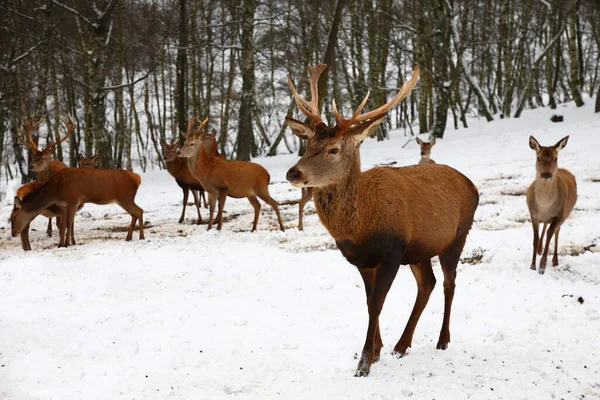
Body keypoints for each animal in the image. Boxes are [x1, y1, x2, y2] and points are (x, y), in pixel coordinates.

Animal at [11, 166, 145, 247]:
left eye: (13, 217)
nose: (13, 233)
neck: (56, 191)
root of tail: (137, 178)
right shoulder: (64, 205)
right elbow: (63, 226)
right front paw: (61, 244)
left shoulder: (73, 200)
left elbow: (68, 224)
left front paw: (66, 243)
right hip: (124, 199)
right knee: (135, 213)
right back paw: (128, 237)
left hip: (125, 198)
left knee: (139, 211)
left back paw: (141, 237)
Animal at [284, 64, 478, 376]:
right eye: (308, 143)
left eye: (333, 149)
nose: (294, 173)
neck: (360, 228)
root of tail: (473, 185)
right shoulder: (363, 260)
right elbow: (367, 302)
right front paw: (377, 351)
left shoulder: (391, 253)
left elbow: (377, 304)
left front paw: (364, 362)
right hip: (420, 250)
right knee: (428, 284)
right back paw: (402, 345)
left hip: (457, 236)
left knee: (449, 283)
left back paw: (442, 340)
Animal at [524, 136, 576, 274]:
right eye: (538, 157)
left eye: (555, 158)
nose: (546, 174)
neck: (544, 206)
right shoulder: (532, 214)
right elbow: (535, 238)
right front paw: (532, 266)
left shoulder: (559, 215)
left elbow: (550, 234)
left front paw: (542, 267)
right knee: (545, 225)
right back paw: (539, 249)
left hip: (565, 214)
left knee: (556, 231)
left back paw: (554, 260)